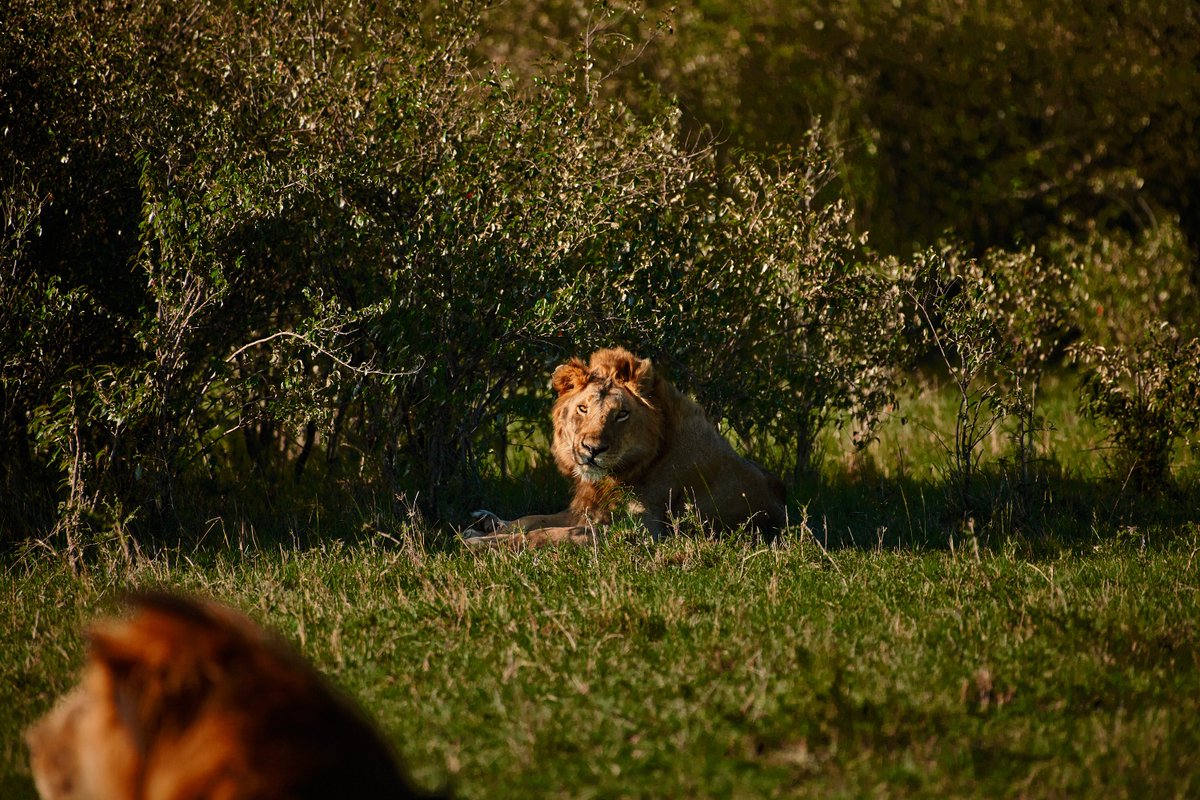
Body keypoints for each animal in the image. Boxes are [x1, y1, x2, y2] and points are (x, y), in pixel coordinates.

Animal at [460, 347, 787, 546]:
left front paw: (481, 545)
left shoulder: (645, 531)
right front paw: (485, 534)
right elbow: (531, 519)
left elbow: (550, 533)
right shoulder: (587, 509)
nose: (592, 449)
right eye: (583, 409)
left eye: (622, 414)